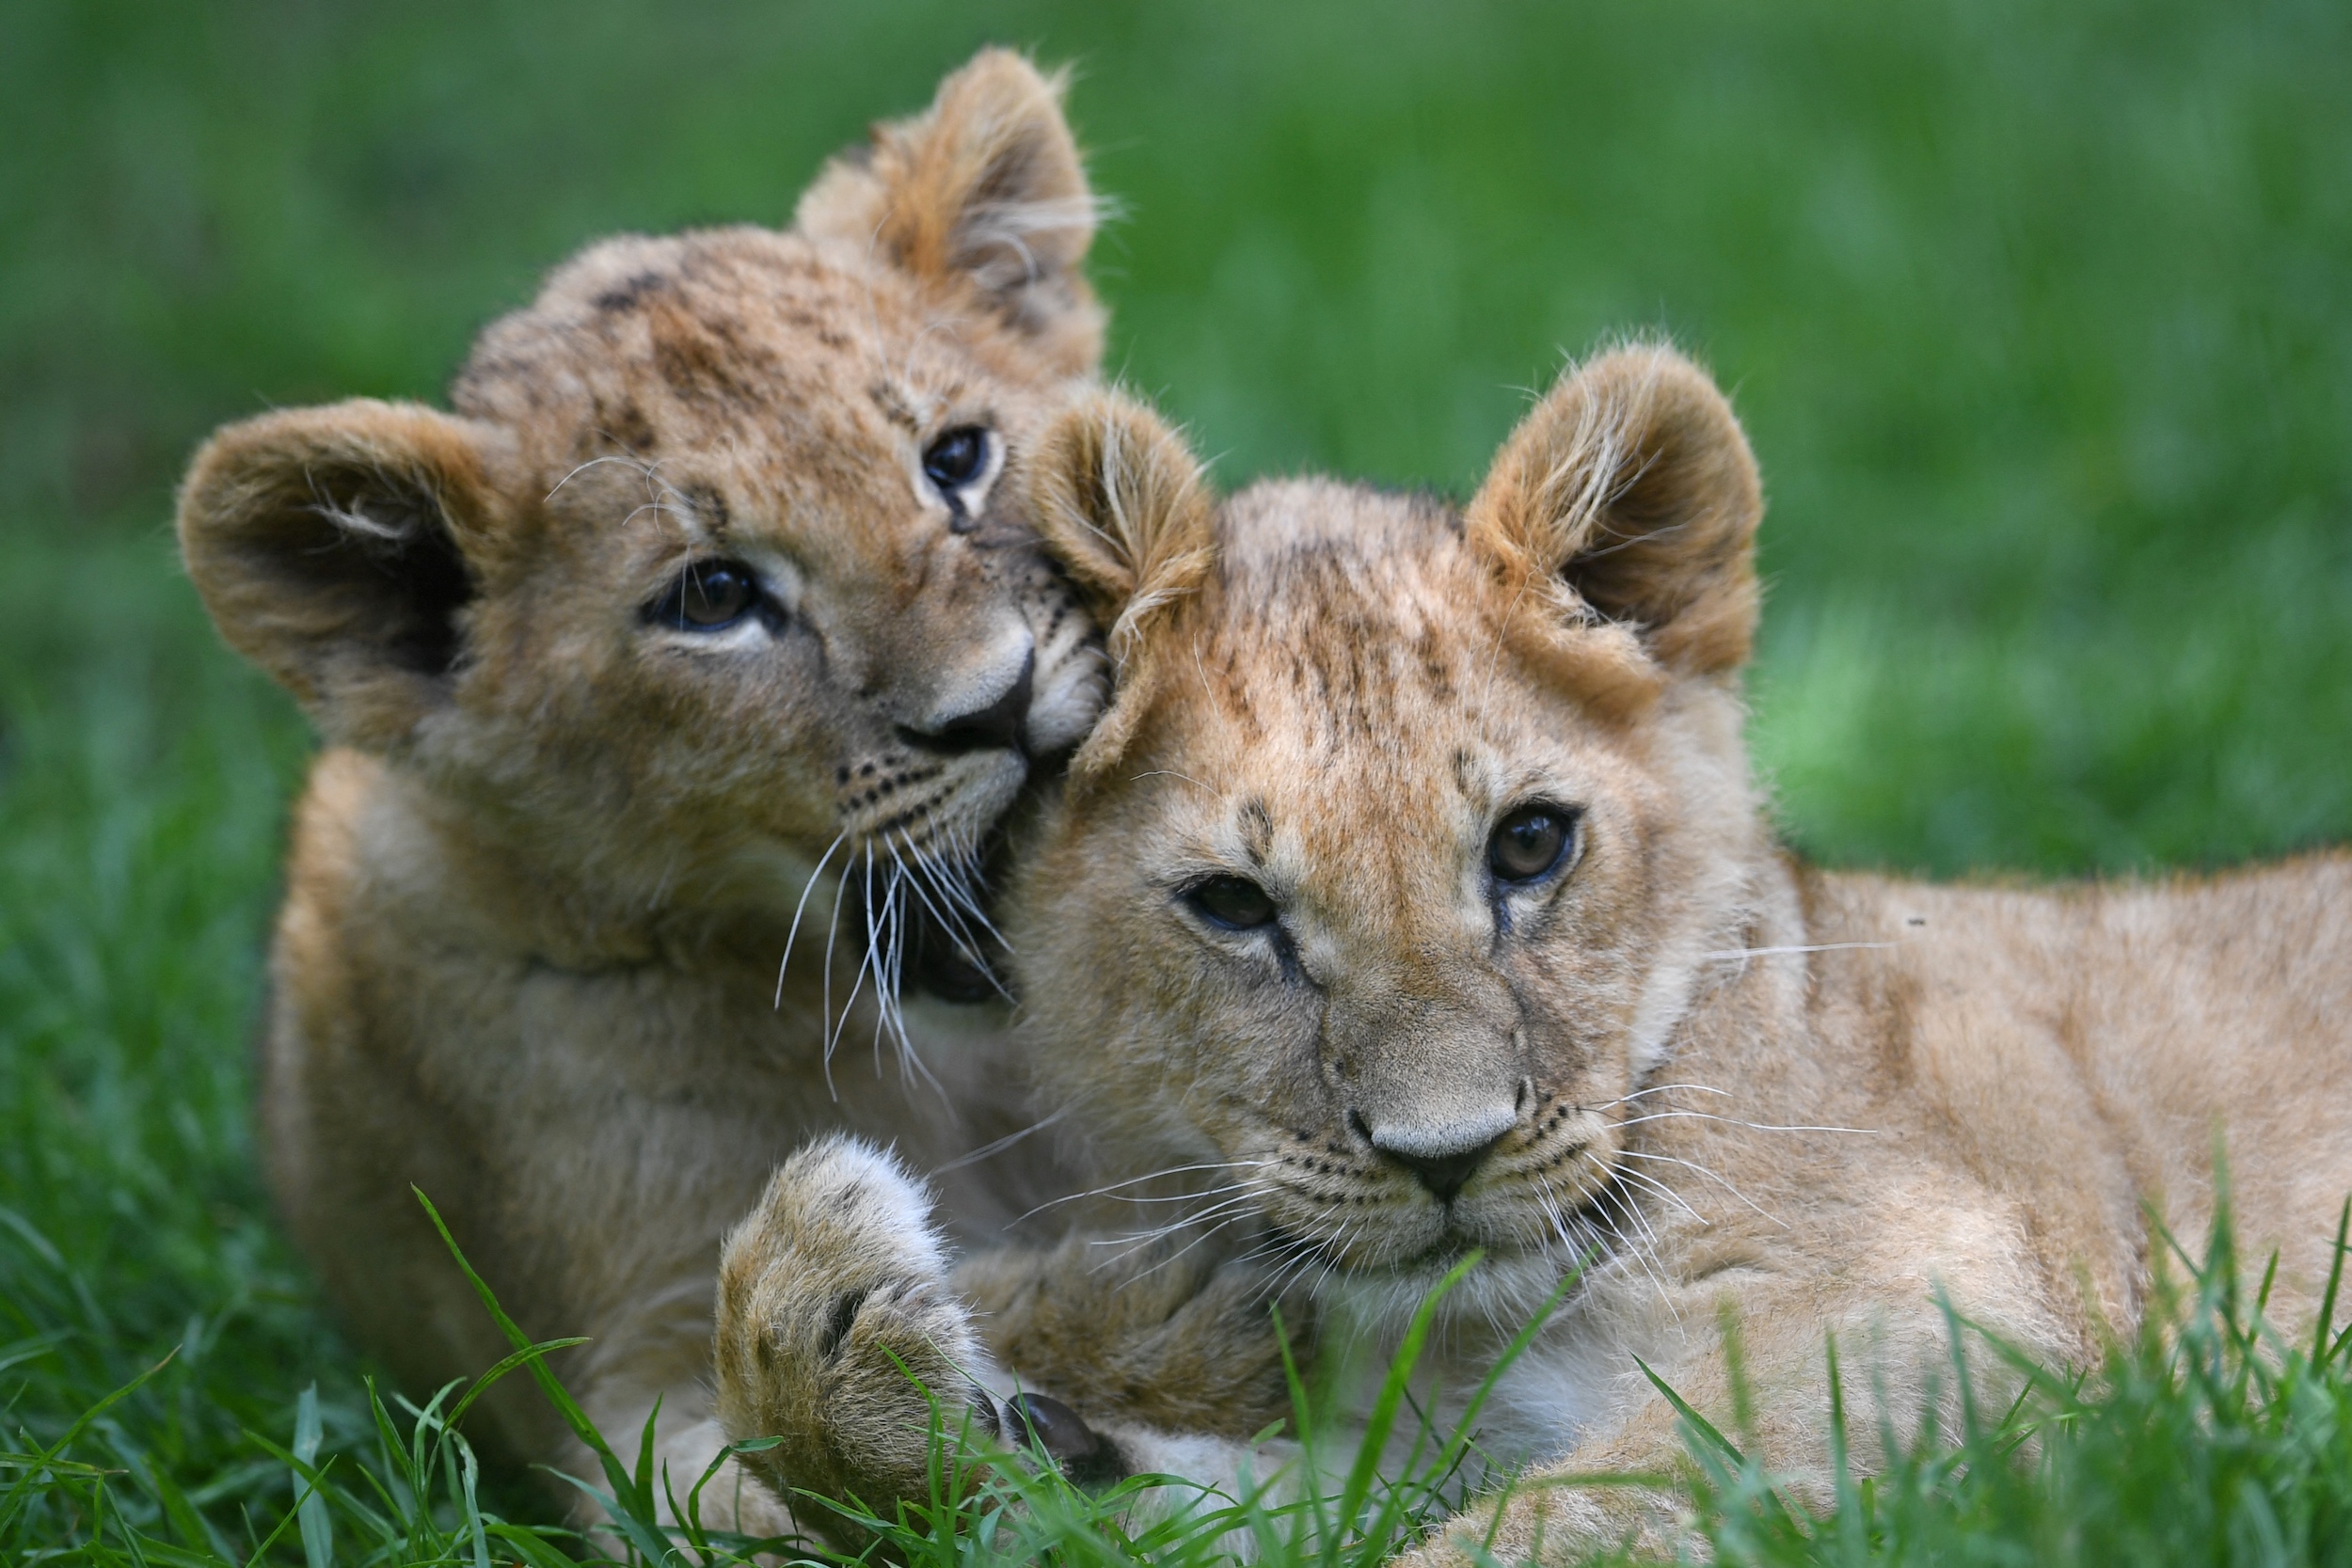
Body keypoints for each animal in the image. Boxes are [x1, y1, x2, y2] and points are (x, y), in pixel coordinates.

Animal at [175, 49, 1288, 1534]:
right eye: (713, 597)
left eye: (956, 459)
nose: (996, 703)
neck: (950, 1058)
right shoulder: (618, 1389)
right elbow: (777, 1406)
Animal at [715, 346, 2352, 1556]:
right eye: (1235, 905)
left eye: (1529, 845)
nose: (1444, 1156)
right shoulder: (1409, 1439)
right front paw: (870, 1352)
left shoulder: (1950, 1326)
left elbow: (1559, 1526)